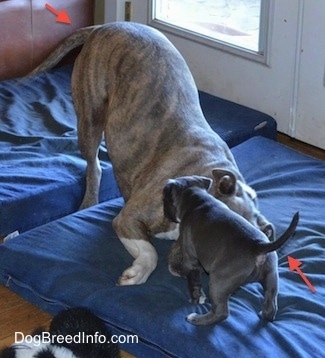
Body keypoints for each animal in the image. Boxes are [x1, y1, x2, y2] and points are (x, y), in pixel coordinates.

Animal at [163, 175, 298, 326]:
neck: (197, 199)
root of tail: (259, 246)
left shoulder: (190, 260)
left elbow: (194, 281)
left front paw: (195, 298)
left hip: (217, 282)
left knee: (221, 313)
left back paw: (196, 319)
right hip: (271, 277)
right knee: (271, 306)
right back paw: (263, 314)